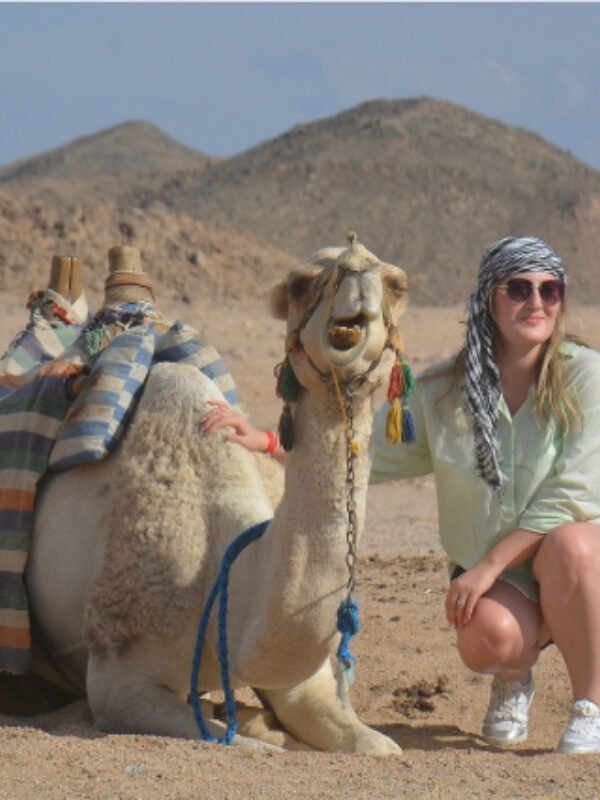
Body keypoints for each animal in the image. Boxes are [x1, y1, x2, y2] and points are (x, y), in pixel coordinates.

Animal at [26, 235, 409, 754]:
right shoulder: (118, 681)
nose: (358, 275)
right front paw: (254, 733)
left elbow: (376, 745)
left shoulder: (302, 680)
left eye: (396, 284)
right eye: (299, 284)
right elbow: (249, 747)